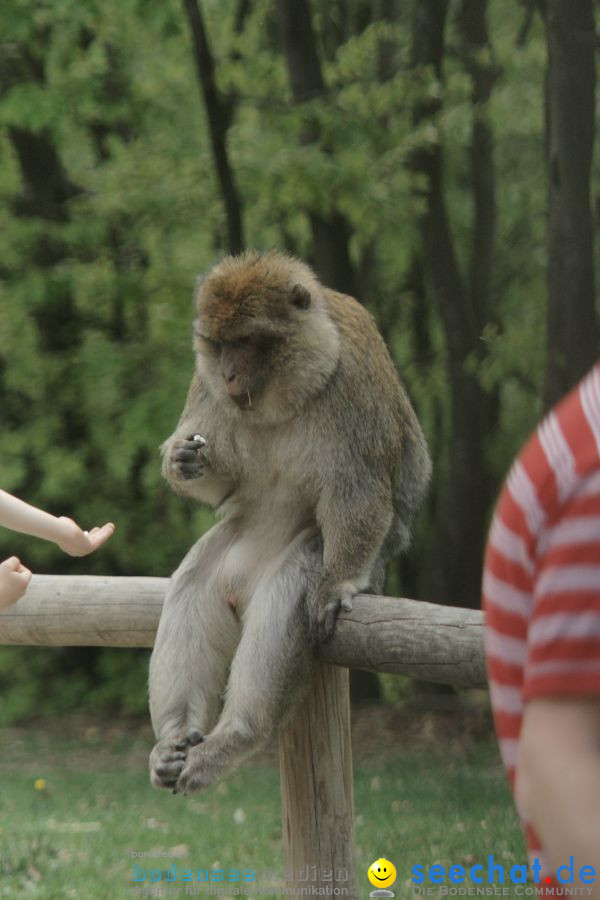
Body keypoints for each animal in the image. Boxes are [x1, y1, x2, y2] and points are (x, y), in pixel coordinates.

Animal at [149, 251, 432, 796]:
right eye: (219, 345)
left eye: (245, 342)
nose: (229, 374)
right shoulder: (206, 388)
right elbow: (222, 479)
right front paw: (182, 459)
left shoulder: (352, 383)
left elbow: (358, 488)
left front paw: (339, 583)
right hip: (226, 552)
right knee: (192, 584)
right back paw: (173, 740)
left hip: (324, 562)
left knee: (288, 599)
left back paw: (234, 737)